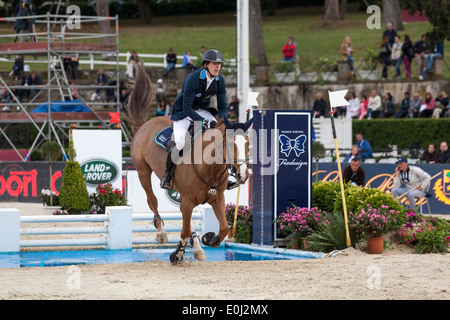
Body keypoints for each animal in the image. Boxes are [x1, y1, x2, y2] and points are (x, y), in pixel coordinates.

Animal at [125, 62, 253, 264]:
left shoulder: (217, 198)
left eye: (247, 143)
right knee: (152, 200)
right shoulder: (187, 199)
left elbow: (224, 228)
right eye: (230, 143)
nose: (243, 175)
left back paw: (198, 248)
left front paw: (209, 239)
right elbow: (184, 231)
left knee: (187, 219)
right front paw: (177, 254)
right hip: (142, 171)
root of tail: (145, 124)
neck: (210, 167)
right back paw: (162, 233)